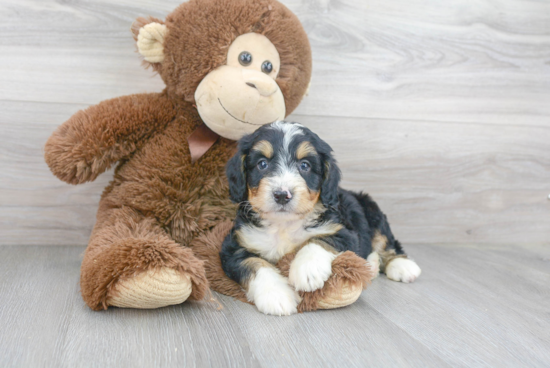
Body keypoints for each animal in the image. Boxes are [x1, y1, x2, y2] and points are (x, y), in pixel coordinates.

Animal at [220, 121, 422, 316]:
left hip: (372, 210)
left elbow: (319, 239)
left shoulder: (344, 232)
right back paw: (371, 264)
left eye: (304, 166)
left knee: (387, 242)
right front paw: (277, 295)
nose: (282, 195)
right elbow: (254, 264)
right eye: (262, 164)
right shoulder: (234, 245)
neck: (284, 224)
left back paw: (402, 266)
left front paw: (307, 270)